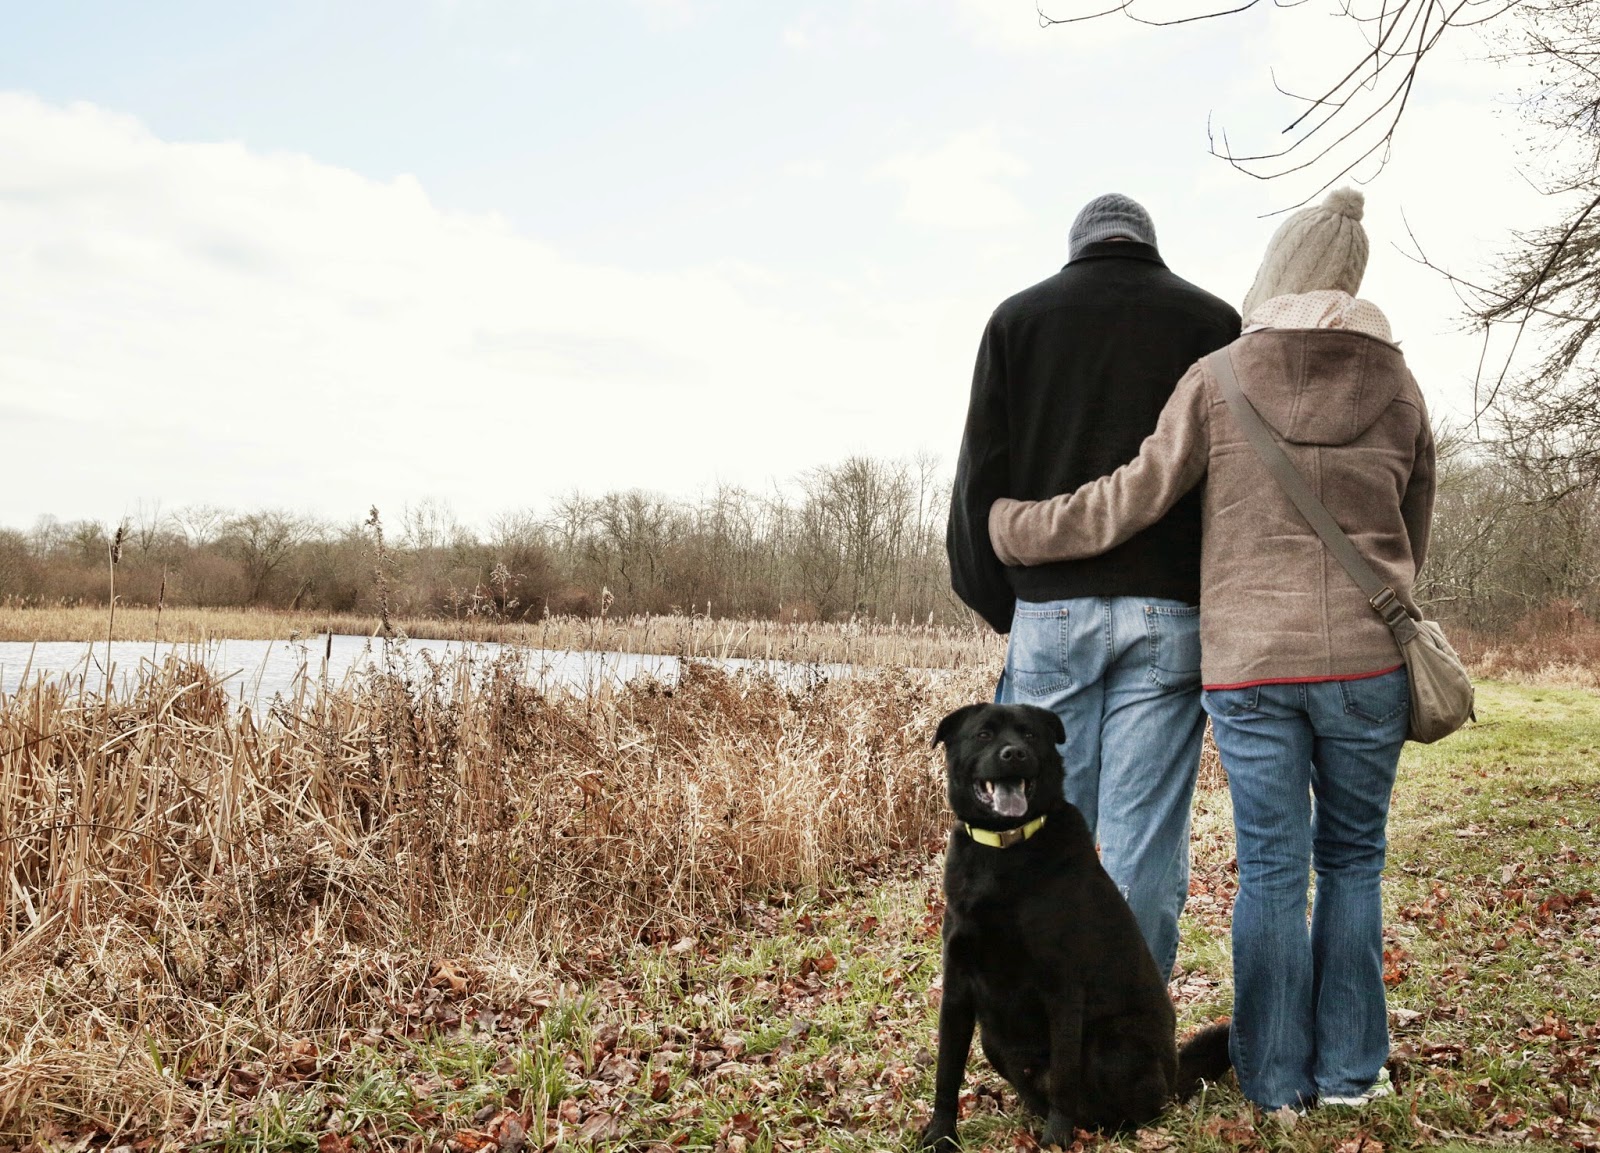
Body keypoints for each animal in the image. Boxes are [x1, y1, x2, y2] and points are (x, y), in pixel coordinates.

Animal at [920, 702, 1230, 1149]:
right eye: (984, 735)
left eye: (1030, 735)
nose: (1014, 754)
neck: (1005, 851)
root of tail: (1173, 1078)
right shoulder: (958, 987)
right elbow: (947, 1071)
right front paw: (940, 1134)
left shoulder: (1063, 988)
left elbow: (1065, 1076)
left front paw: (1055, 1139)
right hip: (994, 1040)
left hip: (1112, 1043)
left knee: (1133, 1104)